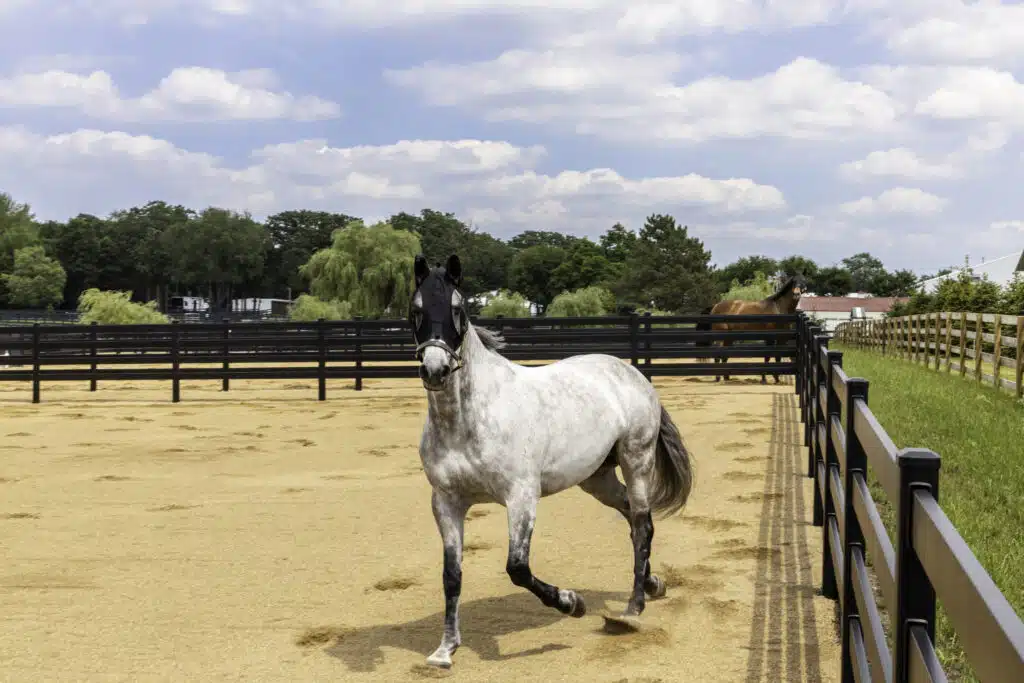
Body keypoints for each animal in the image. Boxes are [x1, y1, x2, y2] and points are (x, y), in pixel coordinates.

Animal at [409, 253, 694, 669]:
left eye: (458, 309)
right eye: (416, 309)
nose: (435, 369)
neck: (470, 419)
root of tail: (633, 373)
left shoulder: (521, 497)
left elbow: (517, 568)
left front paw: (572, 603)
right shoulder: (446, 502)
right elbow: (452, 575)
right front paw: (445, 649)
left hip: (636, 460)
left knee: (642, 525)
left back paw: (632, 609)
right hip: (597, 478)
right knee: (632, 517)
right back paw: (653, 583)